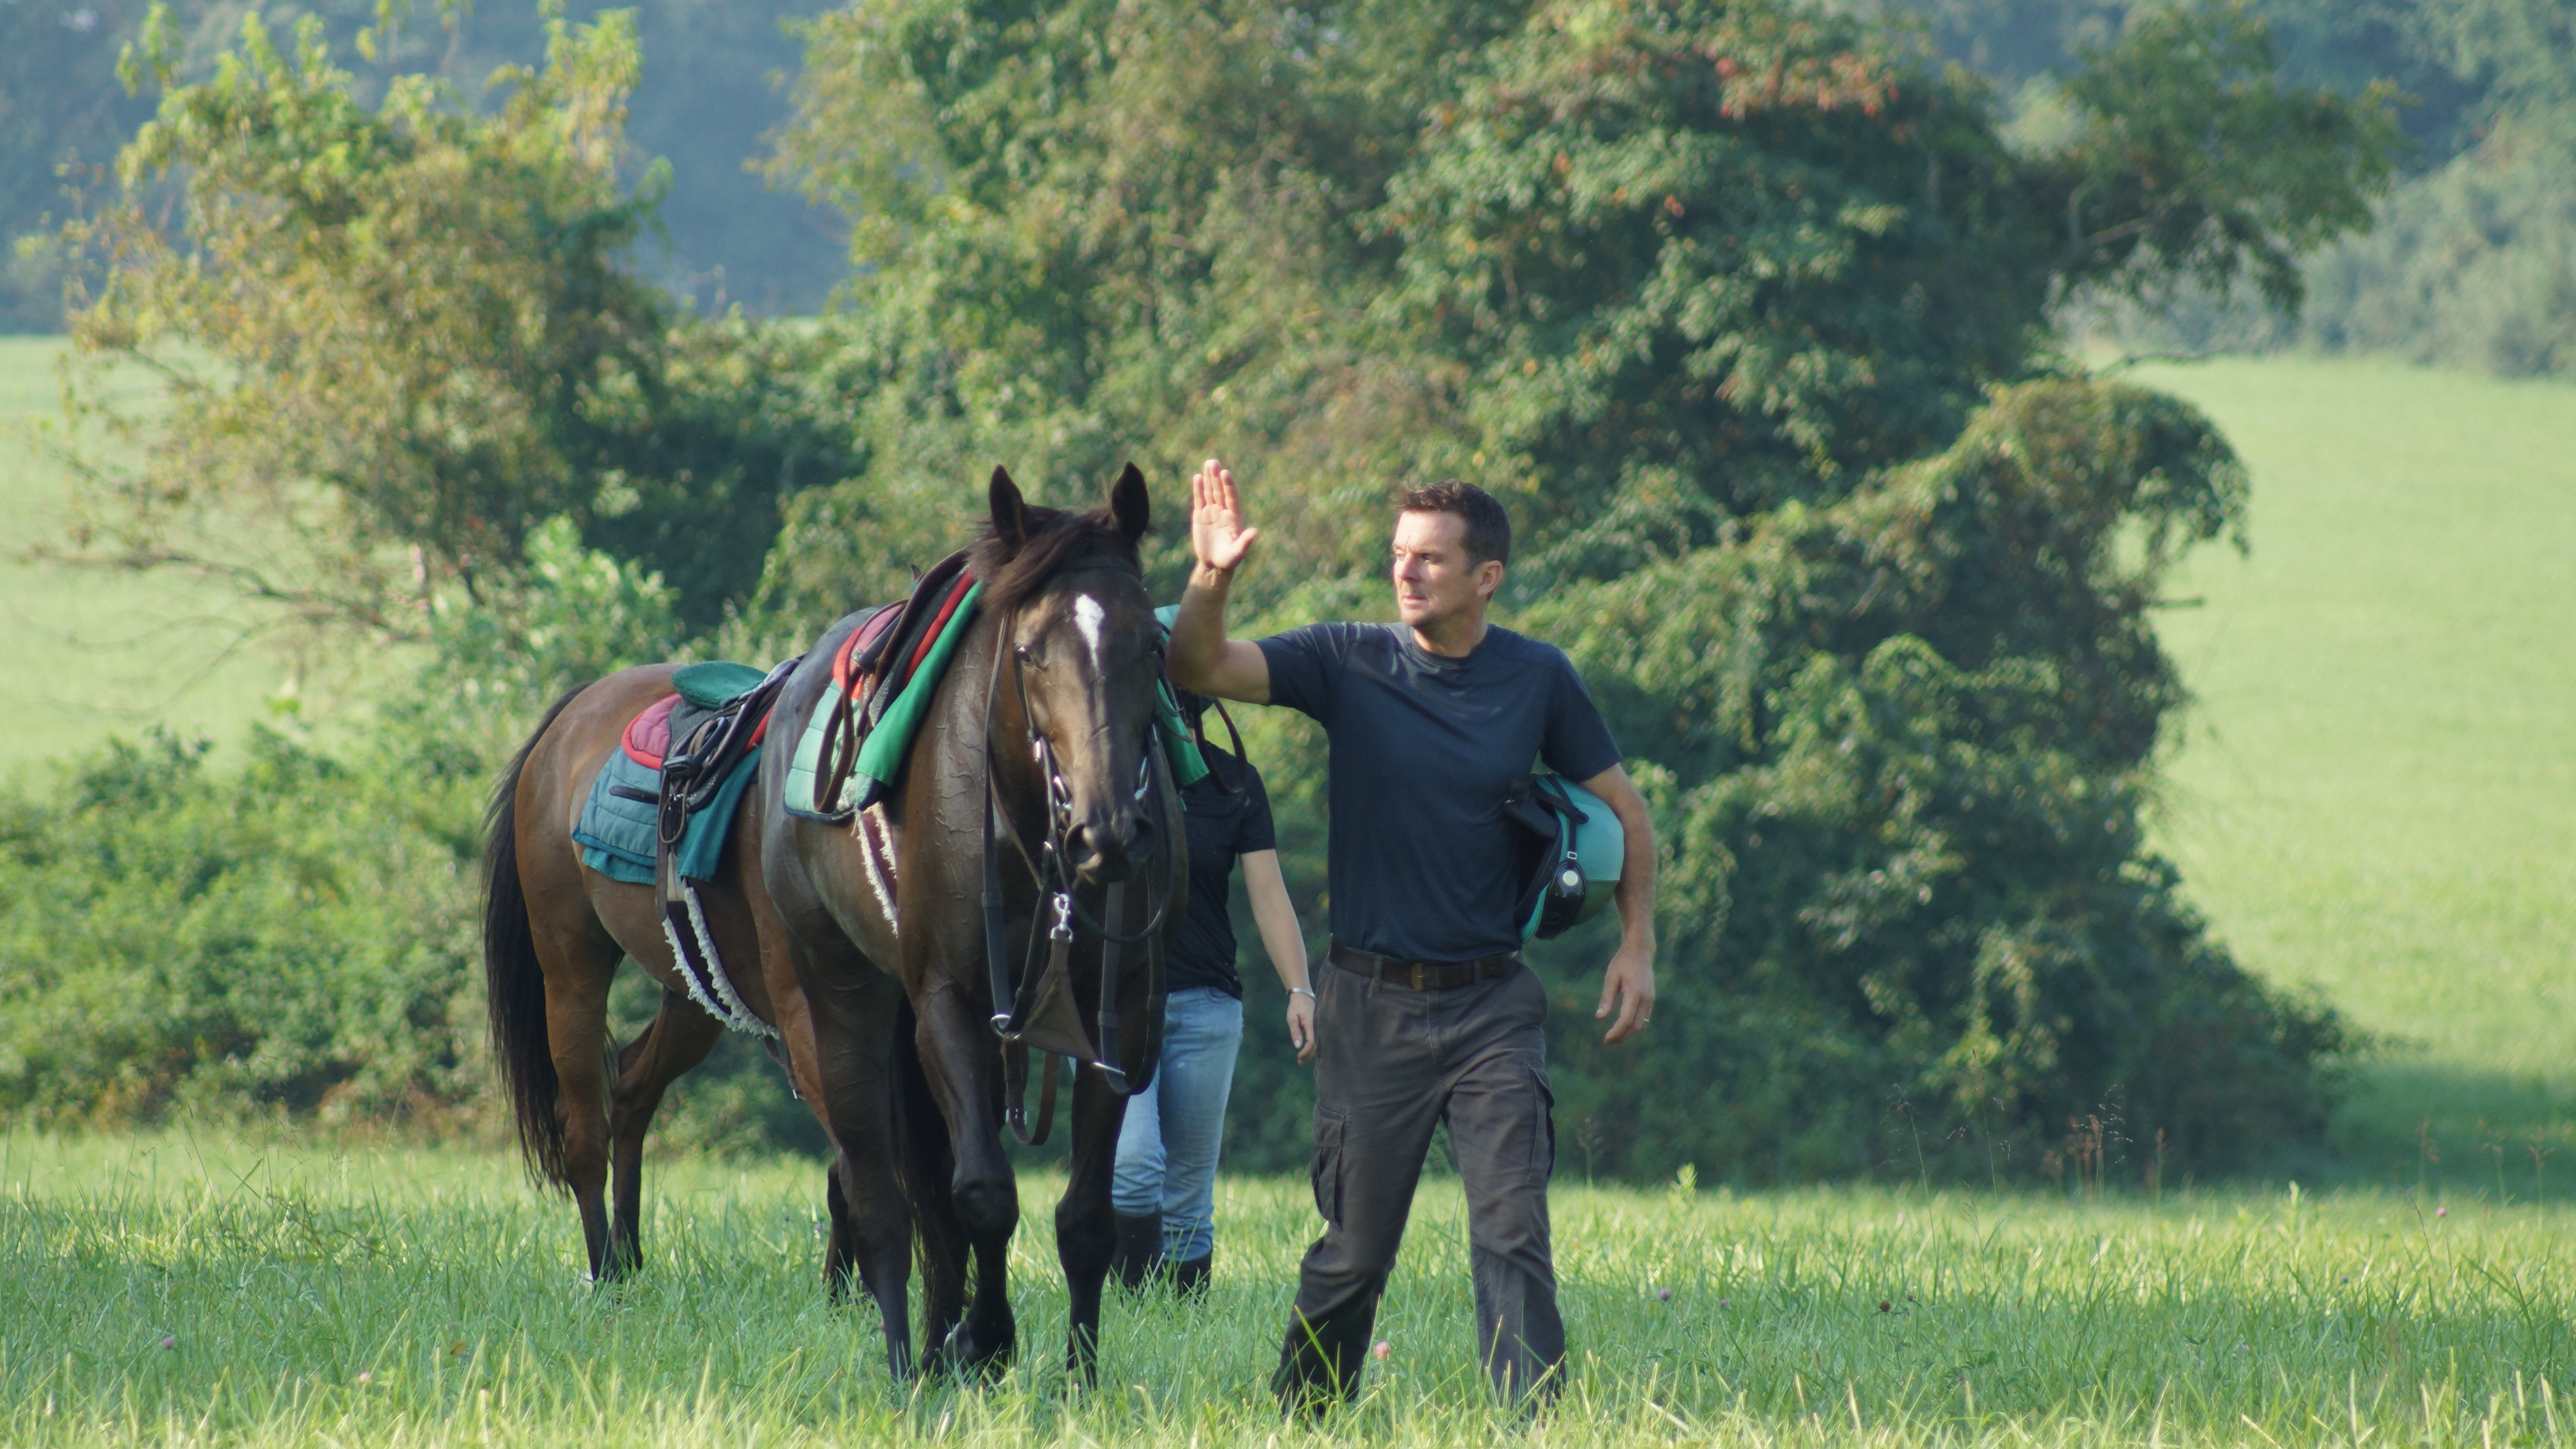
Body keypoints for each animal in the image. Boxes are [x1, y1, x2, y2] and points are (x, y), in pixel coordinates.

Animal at [758, 463, 1184, 1383]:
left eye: (1153, 647)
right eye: (1030, 652)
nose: (1108, 831)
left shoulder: (1121, 1013)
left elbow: (1085, 1217)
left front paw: (1078, 1375)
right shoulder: (949, 1001)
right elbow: (982, 1195)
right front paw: (985, 1338)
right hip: (838, 995)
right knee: (881, 1198)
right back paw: (905, 1356)